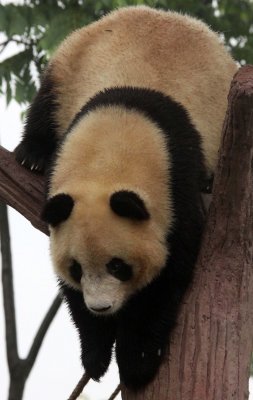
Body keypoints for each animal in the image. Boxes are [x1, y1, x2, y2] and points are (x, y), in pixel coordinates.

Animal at [15, 4, 237, 390]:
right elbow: (71, 291)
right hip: (74, 57)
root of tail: (164, 12)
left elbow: (166, 278)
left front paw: (137, 362)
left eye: (118, 266)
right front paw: (95, 354)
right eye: (76, 267)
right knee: (48, 99)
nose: (102, 308)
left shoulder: (176, 186)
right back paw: (32, 155)